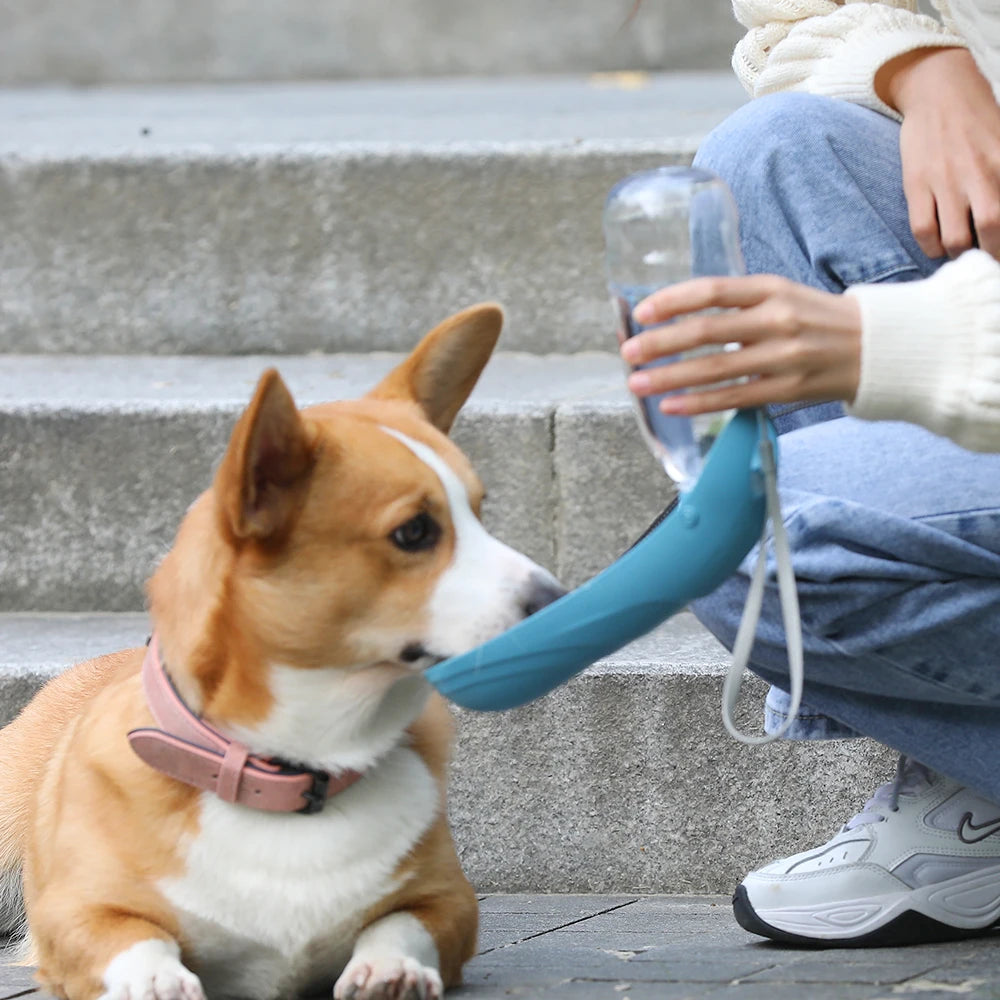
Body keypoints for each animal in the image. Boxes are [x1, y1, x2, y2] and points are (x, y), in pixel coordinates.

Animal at [0, 302, 568, 1000]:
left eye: (481, 515)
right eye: (414, 532)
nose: (559, 598)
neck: (297, 766)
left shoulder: (448, 905)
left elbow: (402, 924)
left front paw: (391, 970)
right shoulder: (77, 914)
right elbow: (134, 940)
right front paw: (157, 979)